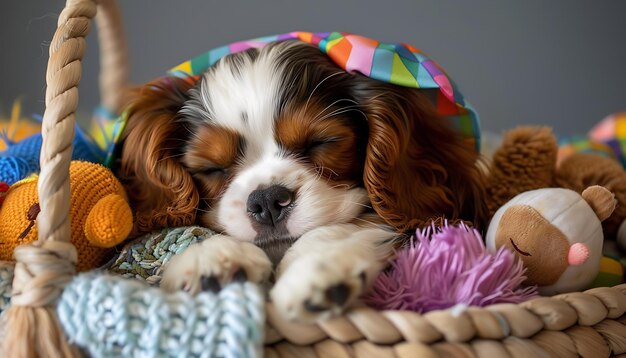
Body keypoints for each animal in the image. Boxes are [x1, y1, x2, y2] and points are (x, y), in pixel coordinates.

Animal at [118, 39, 488, 322]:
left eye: (320, 142)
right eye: (212, 168)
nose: (267, 201)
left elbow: (359, 222)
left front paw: (316, 266)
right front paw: (210, 256)